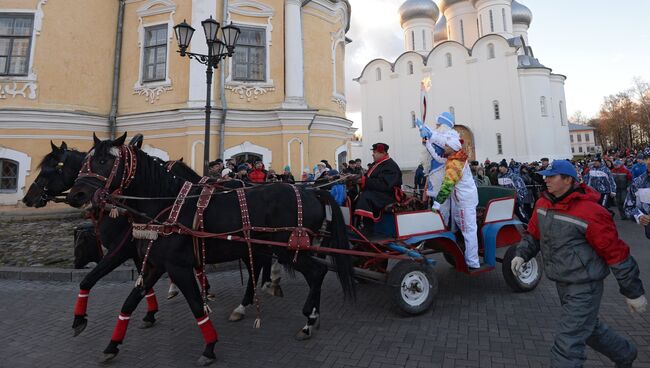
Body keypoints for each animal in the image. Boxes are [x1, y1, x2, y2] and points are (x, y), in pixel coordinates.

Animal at [66, 134, 354, 366]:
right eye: (85, 161)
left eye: (103, 161)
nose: (75, 195)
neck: (168, 207)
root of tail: (311, 192)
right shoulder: (154, 264)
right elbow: (129, 301)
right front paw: (109, 343)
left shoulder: (176, 266)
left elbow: (196, 306)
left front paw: (209, 347)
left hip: (288, 250)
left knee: (316, 273)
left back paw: (307, 320)